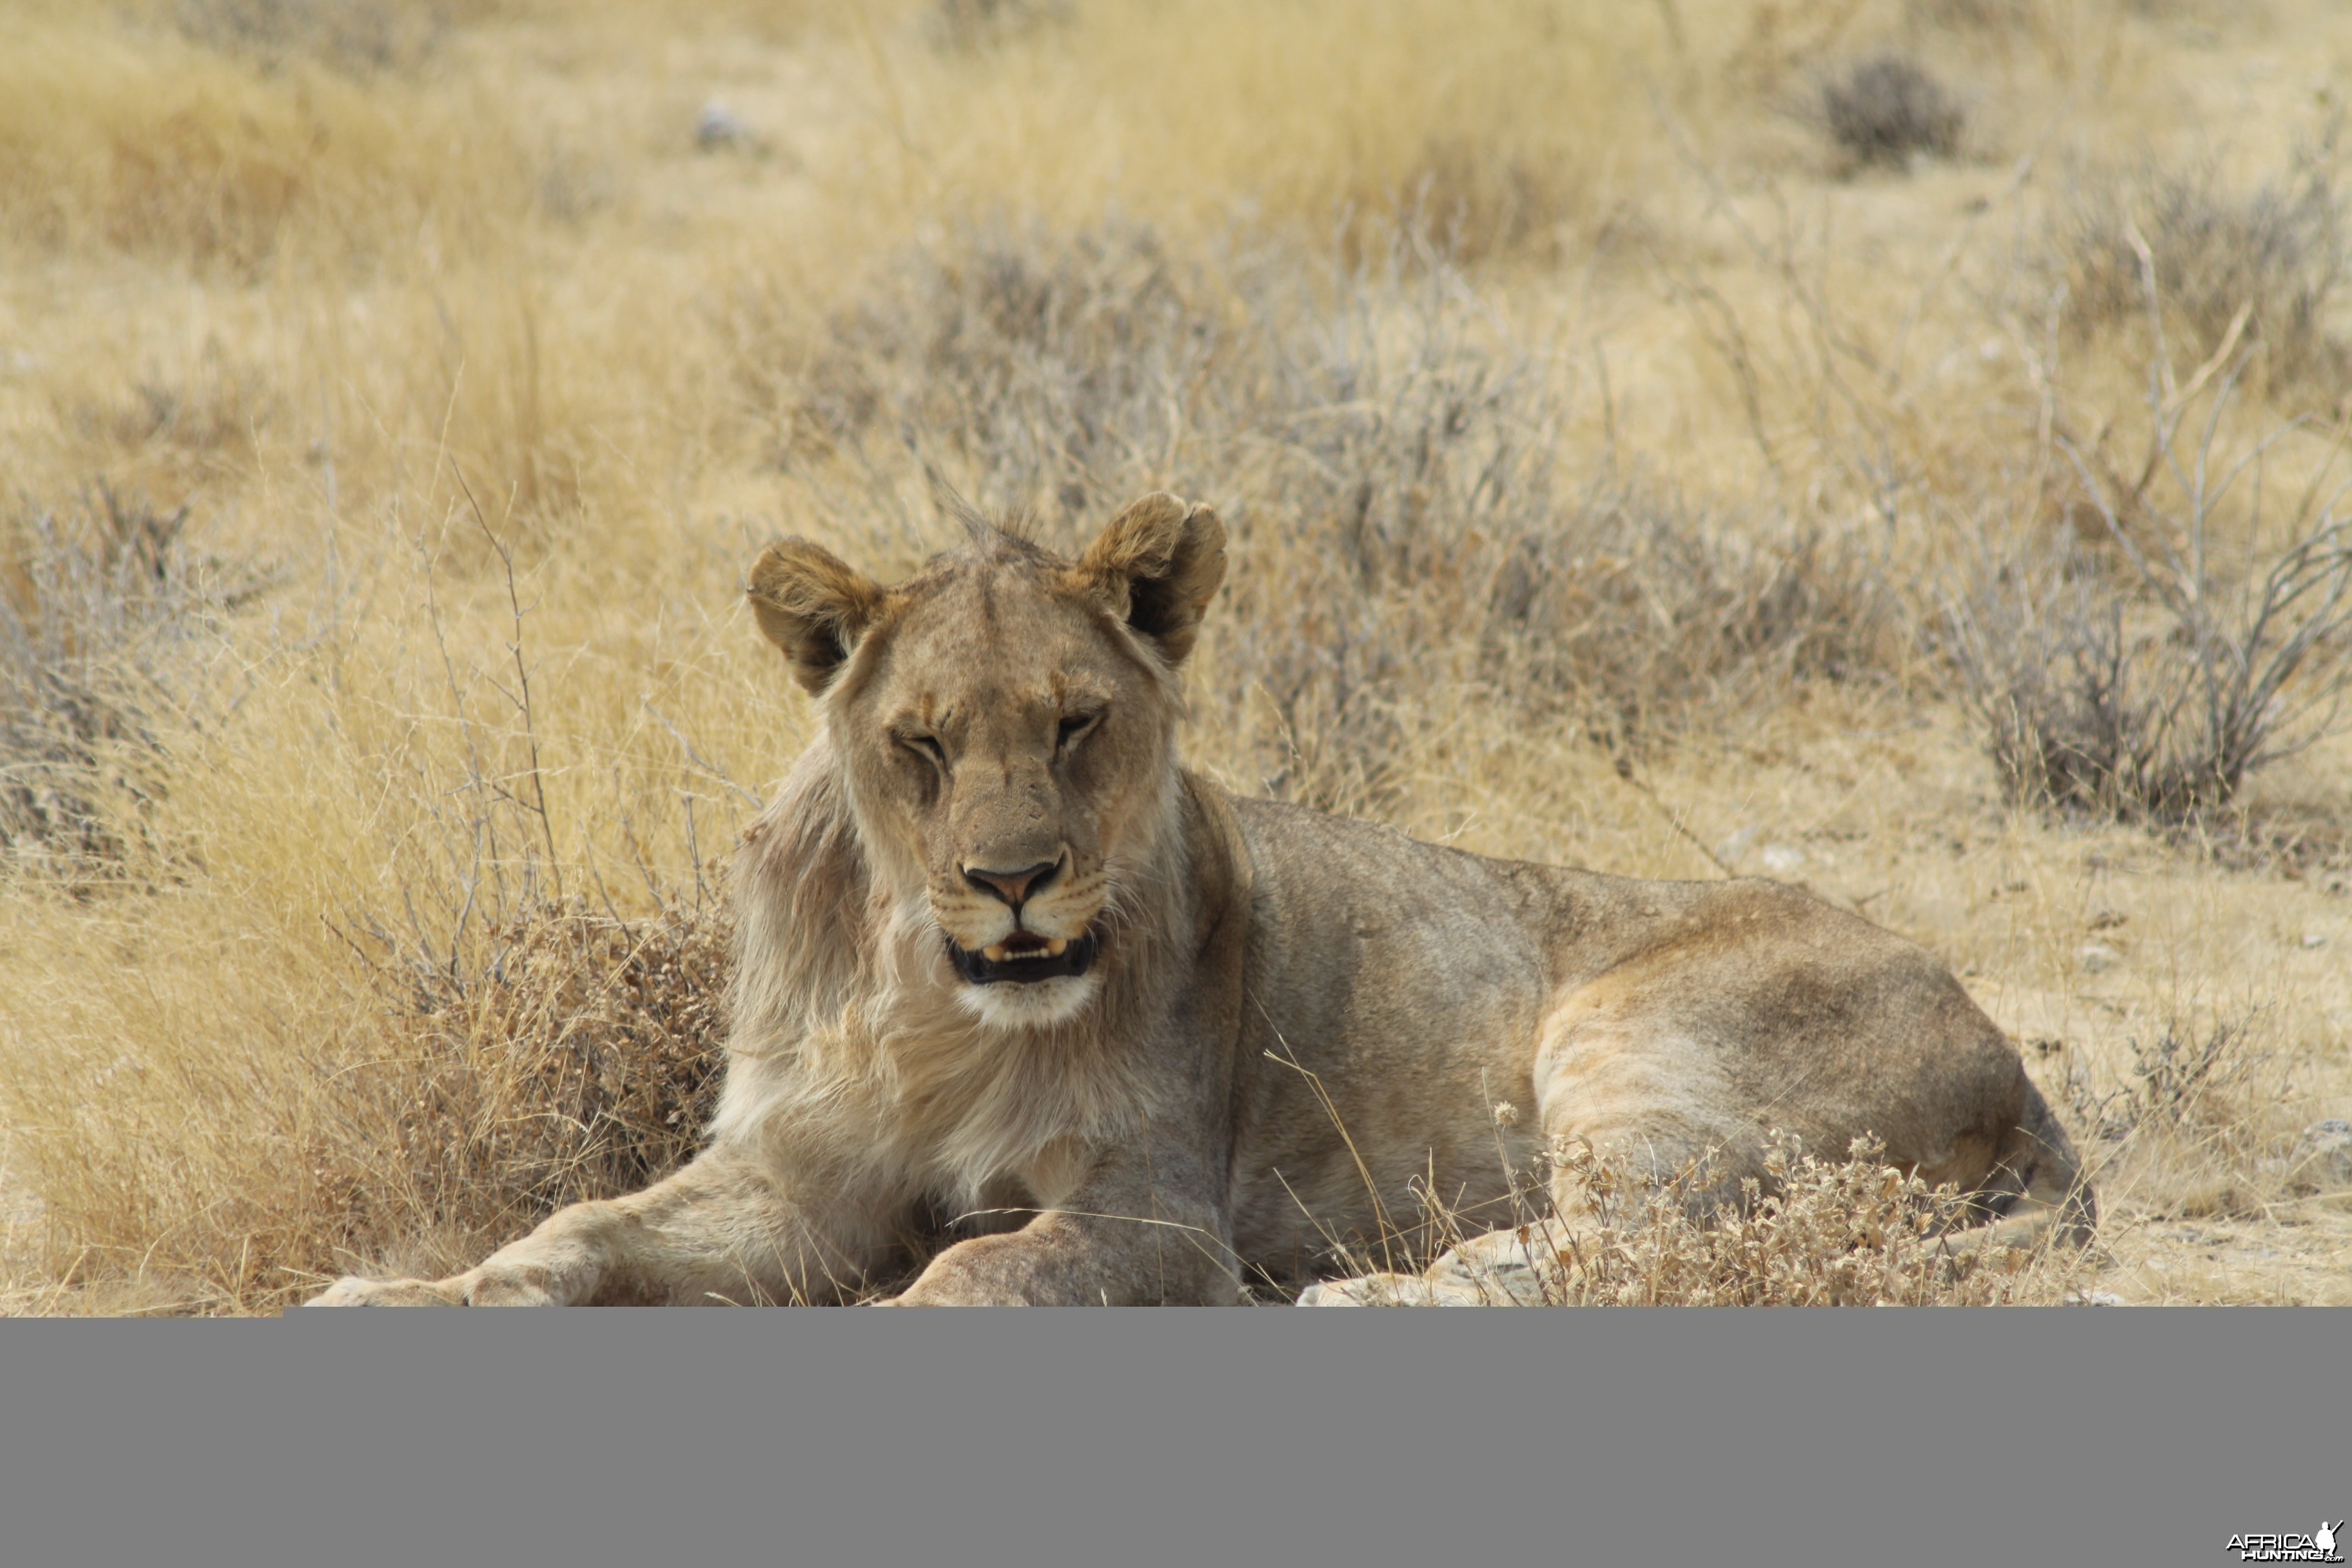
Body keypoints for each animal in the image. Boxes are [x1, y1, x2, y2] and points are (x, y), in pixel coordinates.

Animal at [312, 495, 2097, 1307]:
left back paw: (1383, 1294)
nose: (1013, 880)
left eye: (1075, 724)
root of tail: (2015, 1064)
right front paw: (393, 1294)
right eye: (921, 743)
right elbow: (570, 1231)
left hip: (1627, 1033)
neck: (931, 1007)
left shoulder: (1160, 1208)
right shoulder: (795, 1177)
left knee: (1658, 1237)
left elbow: (970, 1273)